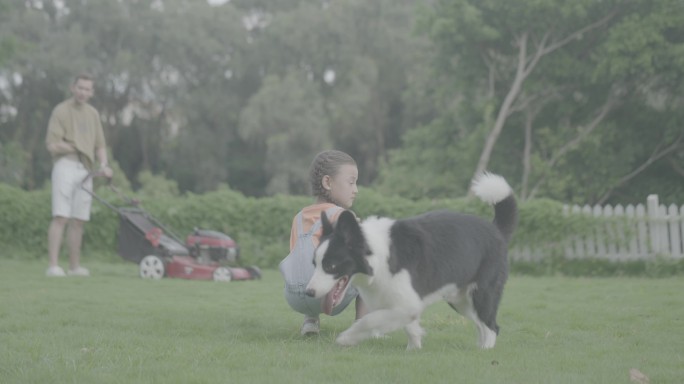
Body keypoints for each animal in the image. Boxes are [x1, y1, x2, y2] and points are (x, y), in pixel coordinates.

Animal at [306, 172, 520, 350]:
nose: (309, 292)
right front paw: (414, 348)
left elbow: (369, 320)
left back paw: (486, 351)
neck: (378, 255)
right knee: (482, 324)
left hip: (481, 293)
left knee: (491, 326)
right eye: (314, 265)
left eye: (331, 266)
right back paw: (480, 349)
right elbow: (409, 326)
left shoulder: (407, 304)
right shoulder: (403, 301)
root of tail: (496, 230)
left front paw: (347, 338)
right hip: (460, 300)